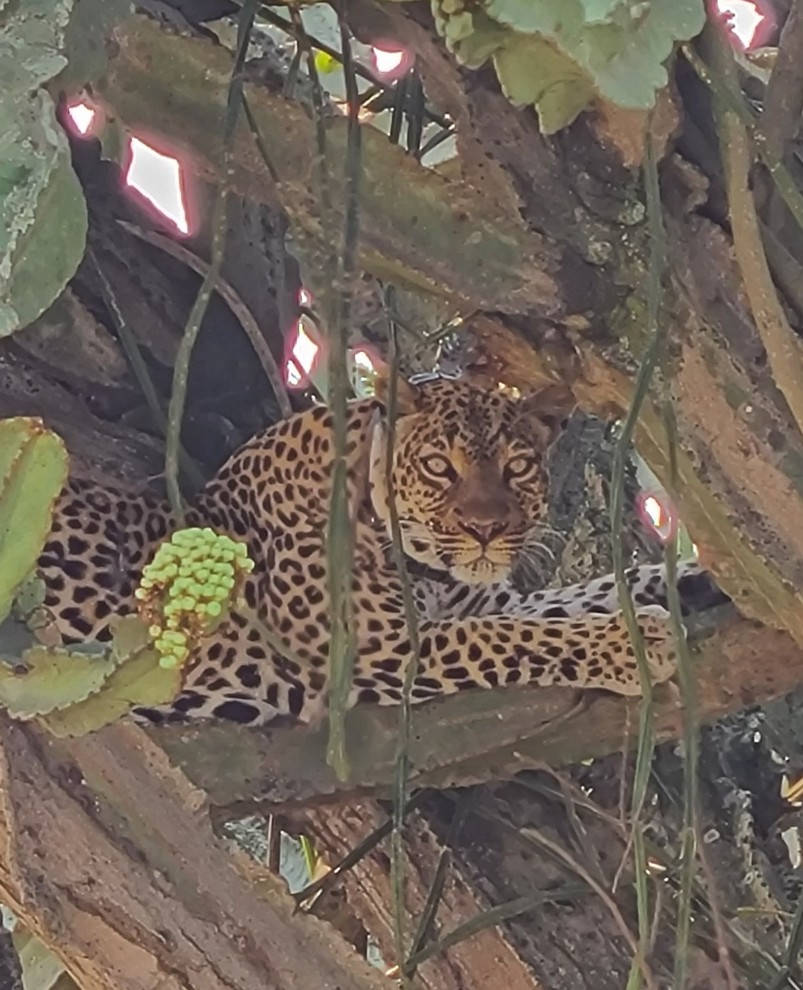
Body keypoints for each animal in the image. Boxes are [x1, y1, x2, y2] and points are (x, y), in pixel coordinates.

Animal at [35, 375, 728, 728]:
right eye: (439, 466)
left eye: (519, 467)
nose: (485, 529)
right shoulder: (371, 651)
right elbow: (508, 639)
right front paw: (630, 644)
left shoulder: (480, 600)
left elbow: (572, 600)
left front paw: (696, 579)